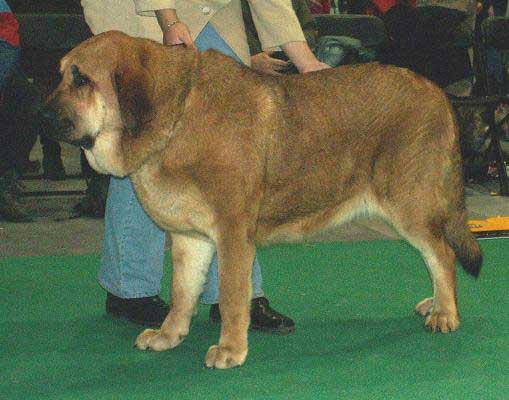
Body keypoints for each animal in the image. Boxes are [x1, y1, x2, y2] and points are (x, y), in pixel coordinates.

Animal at [43, 30, 480, 368]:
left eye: (81, 79)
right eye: (61, 74)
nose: (42, 116)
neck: (177, 115)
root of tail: (437, 92)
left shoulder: (233, 234)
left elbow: (233, 296)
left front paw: (230, 349)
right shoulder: (190, 239)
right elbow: (183, 294)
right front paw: (169, 335)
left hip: (407, 205)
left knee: (443, 254)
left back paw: (445, 313)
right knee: (436, 254)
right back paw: (436, 304)